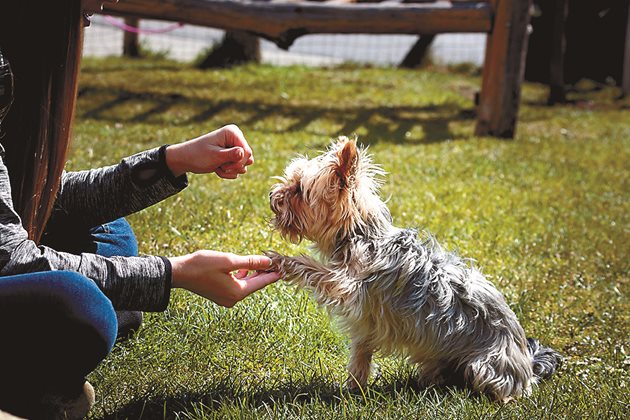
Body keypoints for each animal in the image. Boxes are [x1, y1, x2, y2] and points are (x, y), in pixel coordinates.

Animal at [266, 137, 564, 400]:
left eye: (299, 190)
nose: (272, 196)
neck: (361, 234)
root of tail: (528, 364)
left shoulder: (348, 284)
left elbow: (315, 270)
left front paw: (282, 260)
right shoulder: (366, 322)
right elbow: (361, 354)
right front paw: (353, 388)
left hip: (486, 366)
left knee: (502, 389)